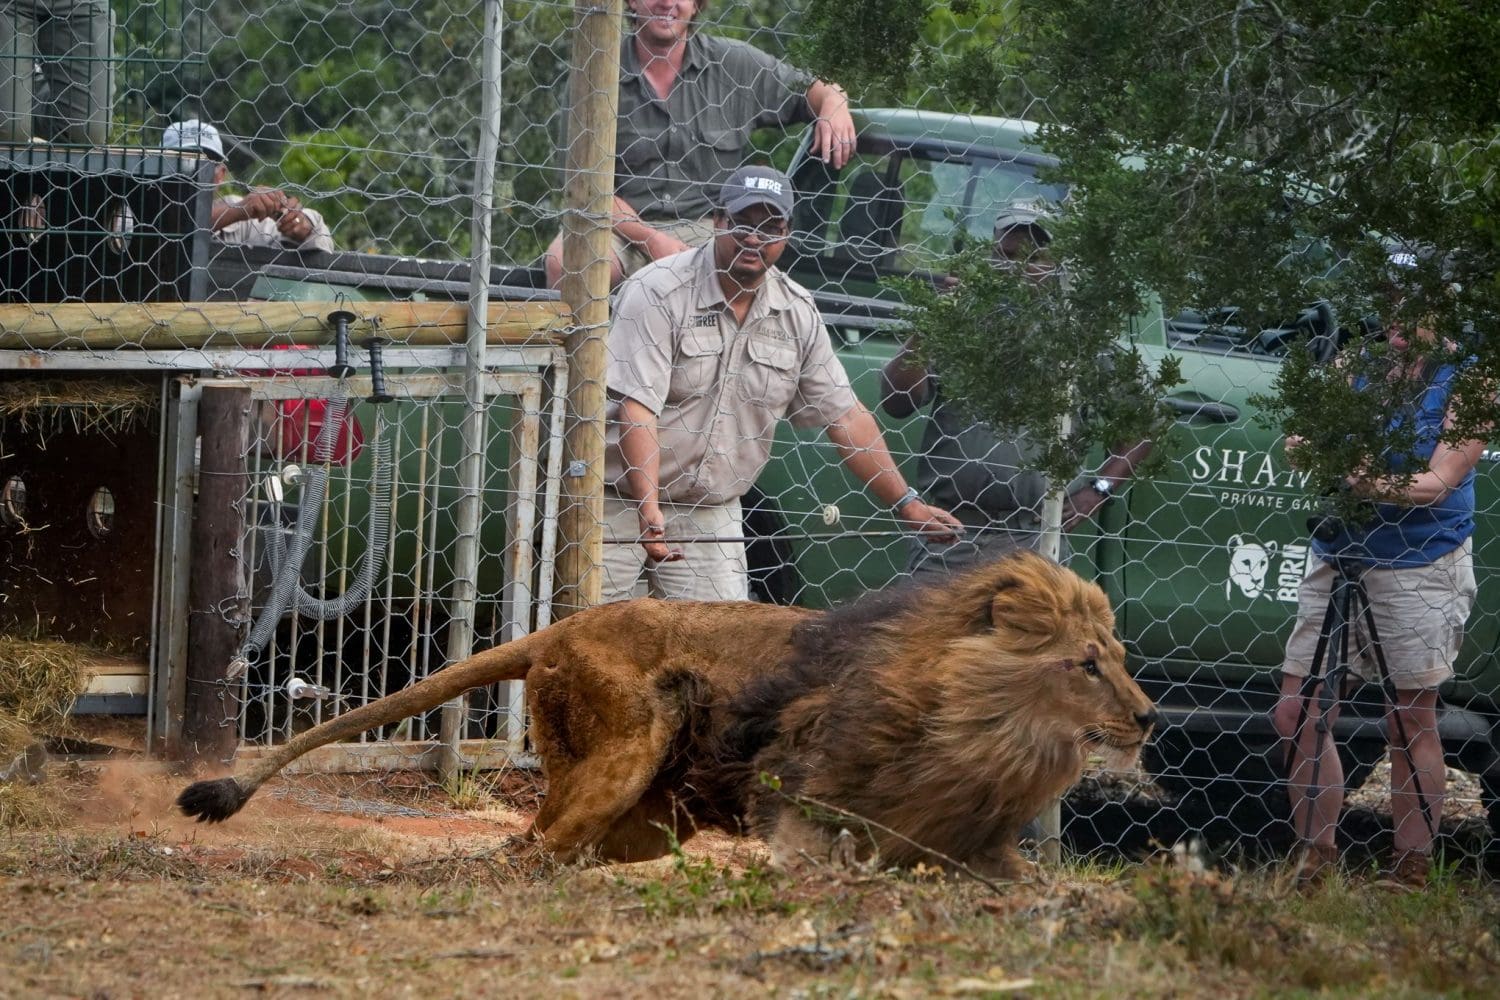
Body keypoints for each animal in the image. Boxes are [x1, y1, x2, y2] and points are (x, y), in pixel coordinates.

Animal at [178, 551, 1158, 869]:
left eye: (1117, 657)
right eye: (1085, 664)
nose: (1150, 717)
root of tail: (563, 625)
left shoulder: (958, 836)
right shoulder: (798, 792)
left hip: (649, 814)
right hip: (621, 759)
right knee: (527, 847)